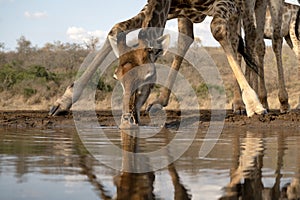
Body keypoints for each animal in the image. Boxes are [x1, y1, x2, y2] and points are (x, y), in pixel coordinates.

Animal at [50, 0, 266, 127]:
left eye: (149, 77)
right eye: (116, 77)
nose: (127, 119)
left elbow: (219, 30)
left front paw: (254, 105)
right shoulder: (175, 6)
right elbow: (117, 28)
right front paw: (63, 101)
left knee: (252, 39)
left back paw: (252, 101)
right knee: (192, 38)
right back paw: (160, 101)